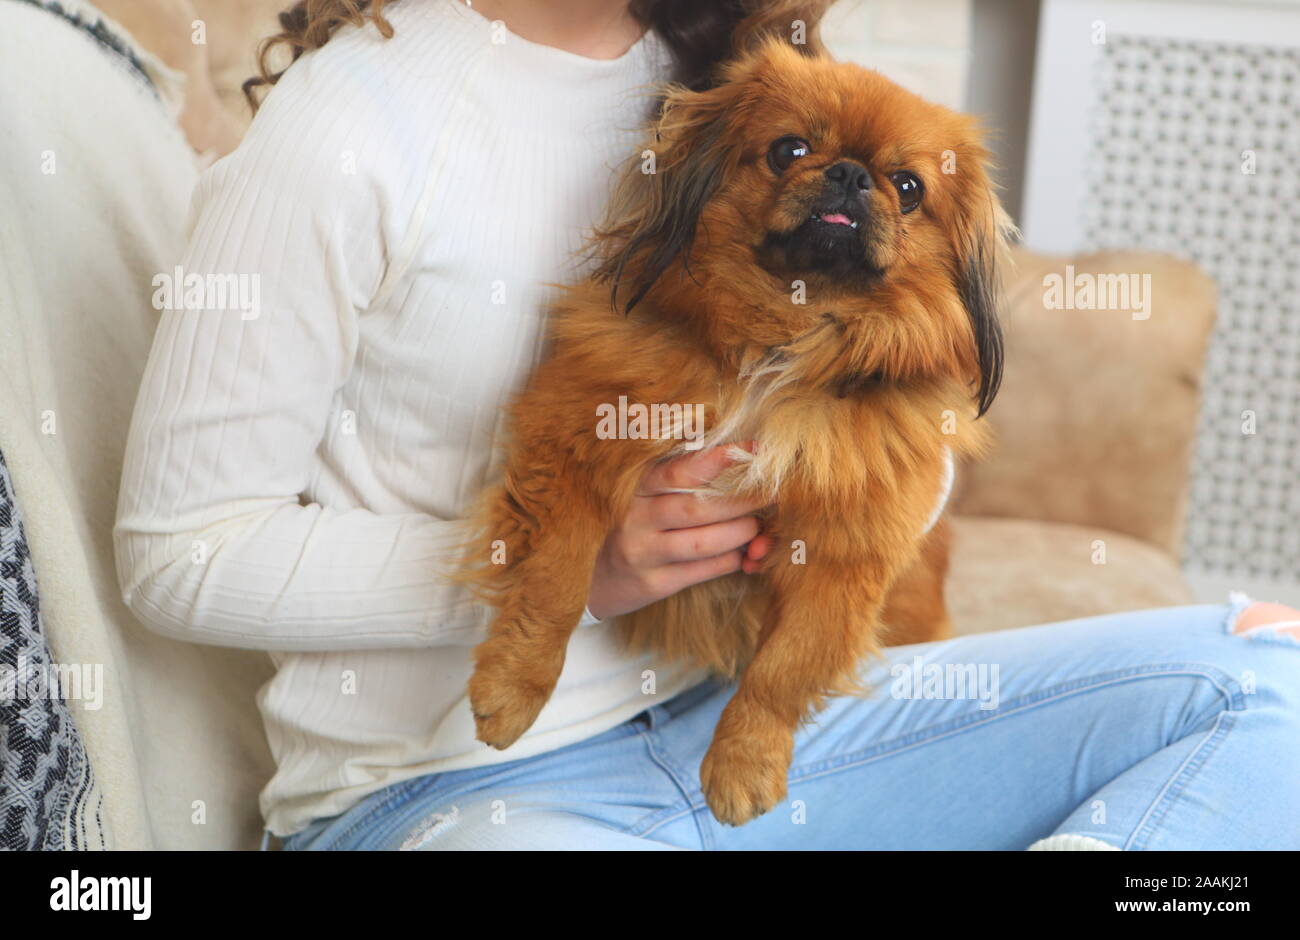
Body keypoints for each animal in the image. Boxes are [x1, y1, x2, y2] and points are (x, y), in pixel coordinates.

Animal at [457, 40, 1013, 826]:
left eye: (908, 188)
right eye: (790, 150)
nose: (849, 175)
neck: (780, 344)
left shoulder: (842, 553)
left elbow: (784, 670)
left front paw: (743, 766)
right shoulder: (569, 444)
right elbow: (555, 582)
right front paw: (512, 692)